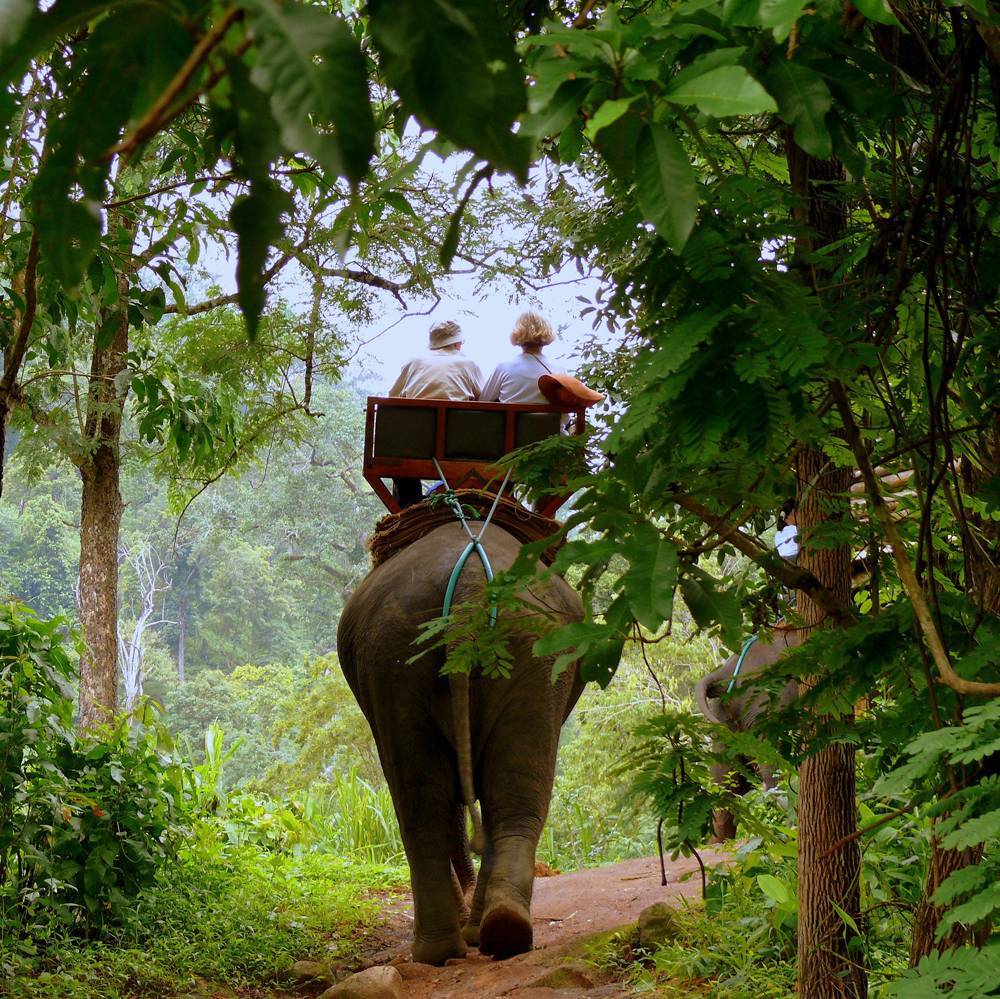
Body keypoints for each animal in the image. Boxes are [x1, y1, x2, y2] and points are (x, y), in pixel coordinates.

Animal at [338, 520, 584, 964]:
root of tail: (471, 585)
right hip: (518, 650)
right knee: (497, 799)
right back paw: (488, 935)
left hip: (407, 653)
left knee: (431, 803)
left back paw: (461, 942)